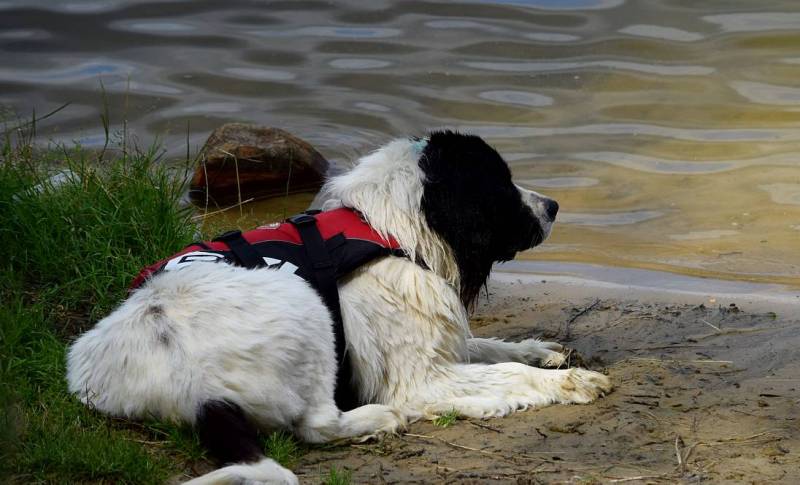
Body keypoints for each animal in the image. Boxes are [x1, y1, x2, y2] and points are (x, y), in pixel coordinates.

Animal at [67, 130, 612, 482]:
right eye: (500, 184)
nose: (554, 207)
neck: (393, 230)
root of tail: (188, 383)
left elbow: (490, 348)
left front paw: (541, 352)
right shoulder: (418, 377)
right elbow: (505, 376)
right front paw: (572, 382)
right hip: (305, 302)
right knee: (316, 426)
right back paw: (376, 420)